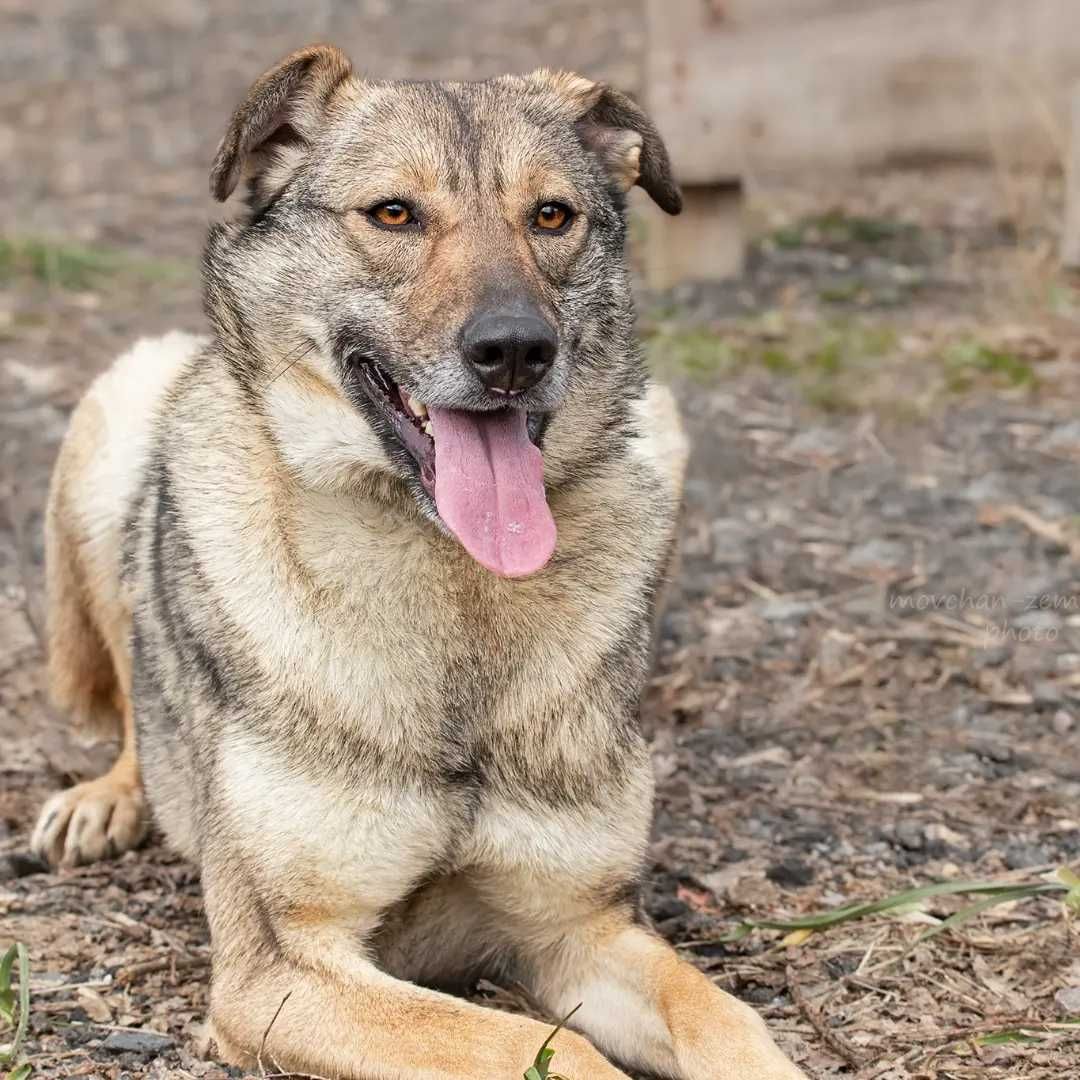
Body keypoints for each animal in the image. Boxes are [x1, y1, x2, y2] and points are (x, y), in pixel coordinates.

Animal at [29, 44, 807, 1080]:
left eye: (551, 216)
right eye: (394, 214)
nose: (516, 351)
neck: (454, 587)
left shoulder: (578, 931)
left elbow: (723, 1020)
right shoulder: (281, 971)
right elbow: (536, 1050)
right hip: (121, 408)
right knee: (131, 687)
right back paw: (111, 798)